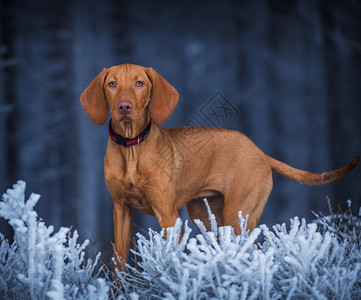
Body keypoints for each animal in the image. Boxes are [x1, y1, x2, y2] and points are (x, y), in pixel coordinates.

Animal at [80, 63, 358, 268]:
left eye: (140, 83)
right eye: (112, 84)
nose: (124, 107)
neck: (131, 147)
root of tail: (260, 151)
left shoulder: (168, 216)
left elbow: (172, 258)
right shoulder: (121, 210)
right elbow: (119, 263)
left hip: (239, 215)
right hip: (208, 217)